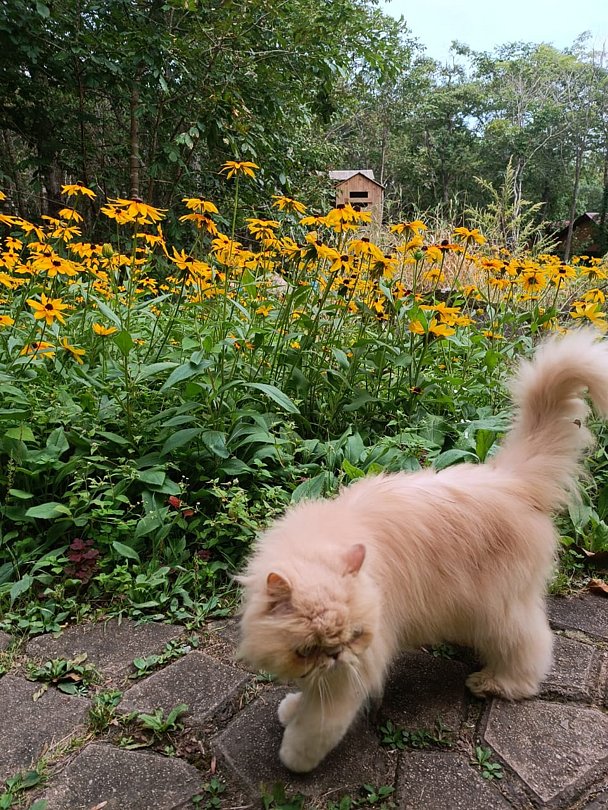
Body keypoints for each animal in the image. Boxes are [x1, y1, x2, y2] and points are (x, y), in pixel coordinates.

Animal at [236, 328, 608, 773]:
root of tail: (509, 480)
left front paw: (294, 757)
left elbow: (317, 725)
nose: (337, 656)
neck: (317, 544)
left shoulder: (355, 672)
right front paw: (291, 707)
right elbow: (308, 698)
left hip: (500, 608)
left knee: (532, 647)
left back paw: (499, 683)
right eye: (311, 648)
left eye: (352, 637)